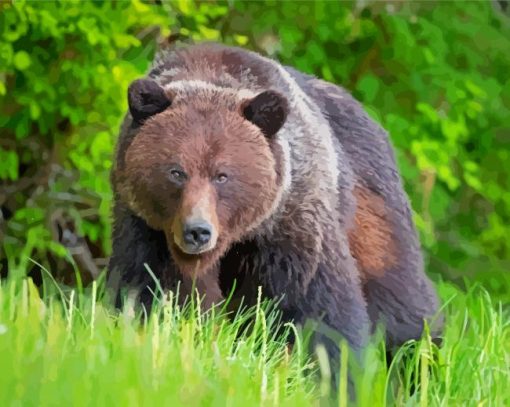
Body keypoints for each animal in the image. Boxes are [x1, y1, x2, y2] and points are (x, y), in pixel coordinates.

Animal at [107, 41, 442, 376]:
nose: (197, 231)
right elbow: (153, 290)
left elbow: (320, 309)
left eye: (222, 175)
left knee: (401, 303)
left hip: (373, 208)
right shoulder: (147, 227)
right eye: (176, 171)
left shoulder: (292, 222)